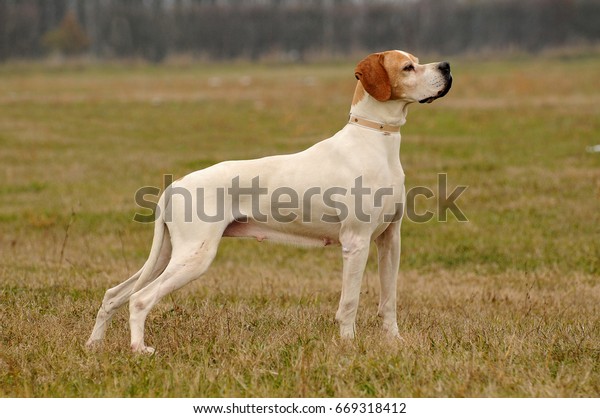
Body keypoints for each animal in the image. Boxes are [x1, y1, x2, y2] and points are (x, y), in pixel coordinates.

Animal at [84, 49, 450, 352]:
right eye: (407, 67)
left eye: (418, 61)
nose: (446, 66)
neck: (375, 138)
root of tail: (174, 187)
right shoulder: (356, 243)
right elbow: (349, 304)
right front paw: (348, 346)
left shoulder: (390, 240)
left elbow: (389, 301)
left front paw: (395, 342)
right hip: (193, 257)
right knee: (140, 299)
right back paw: (139, 349)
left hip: (168, 255)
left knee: (114, 294)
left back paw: (94, 345)